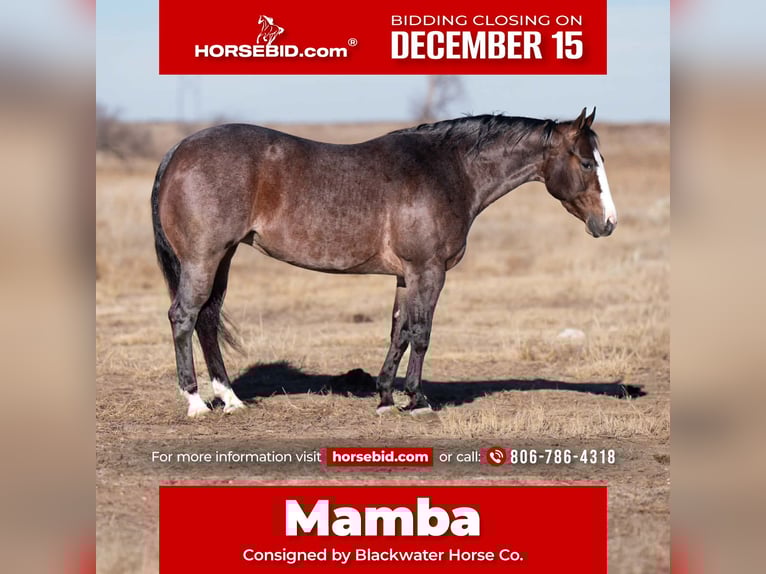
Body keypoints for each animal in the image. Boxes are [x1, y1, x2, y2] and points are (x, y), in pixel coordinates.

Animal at [151, 108, 617, 417]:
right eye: (586, 161)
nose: (608, 223)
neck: (448, 171)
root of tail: (178, 150)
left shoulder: (406, 276)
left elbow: (399, 331)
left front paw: (386, 397)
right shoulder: (429, 271)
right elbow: (422, 334)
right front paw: (418, 400)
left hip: (223, 257)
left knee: (207, 318)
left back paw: (230, 399)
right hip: (204, 258)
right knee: (183, 316)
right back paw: (196, 402)